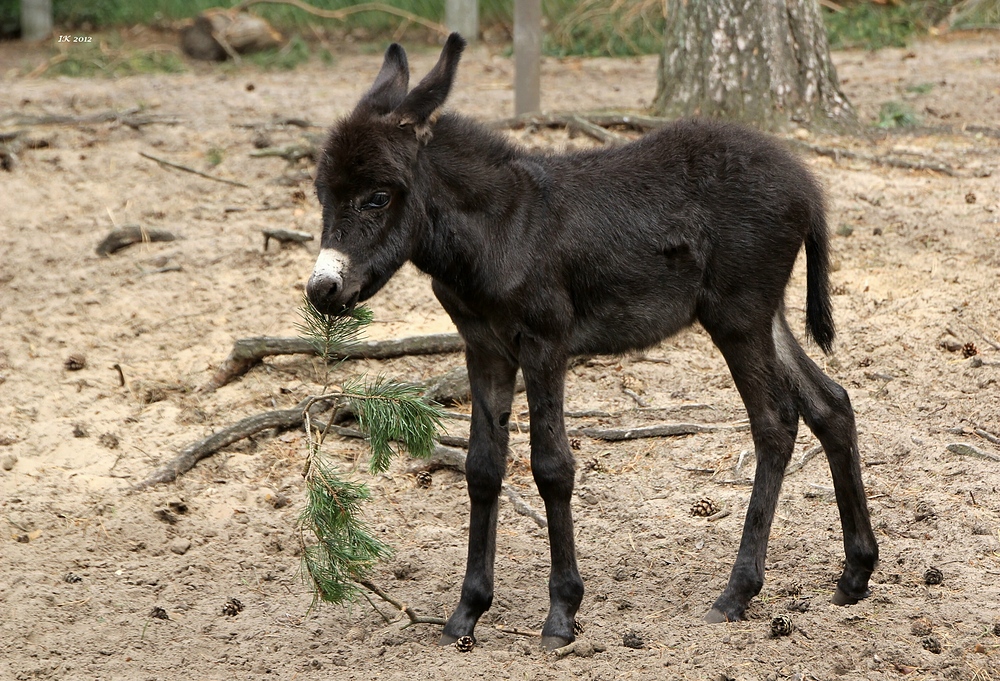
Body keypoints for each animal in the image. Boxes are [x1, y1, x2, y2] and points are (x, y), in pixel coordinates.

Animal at [304, 33, 876, 648]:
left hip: (737, 318)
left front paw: (561, 614)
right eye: (322, 194)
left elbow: (552, 465)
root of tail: (806, 181)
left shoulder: (545, 344)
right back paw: (856, 573)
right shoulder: (484, 348)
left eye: (379, 197)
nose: (322, 289)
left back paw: (737, 593)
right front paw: (466, 614)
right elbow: (482, 467)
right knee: (831, 404)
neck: (501, 227)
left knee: (775, 423)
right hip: (764, 315)